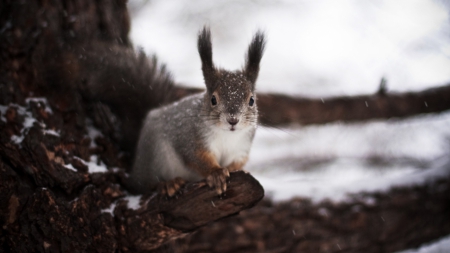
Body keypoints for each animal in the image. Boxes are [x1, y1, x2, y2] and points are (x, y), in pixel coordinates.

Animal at [128, 26, 266, 195]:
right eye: (213, 99)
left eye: (251, 100)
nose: (233, 120)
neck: (227, 135)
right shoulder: (191, 139)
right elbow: (197, 158)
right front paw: (216, 174)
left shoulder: (241, 149)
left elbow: (236, 163)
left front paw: (235, 170)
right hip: (154, 155)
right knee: (145, 185)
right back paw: (167, 183)